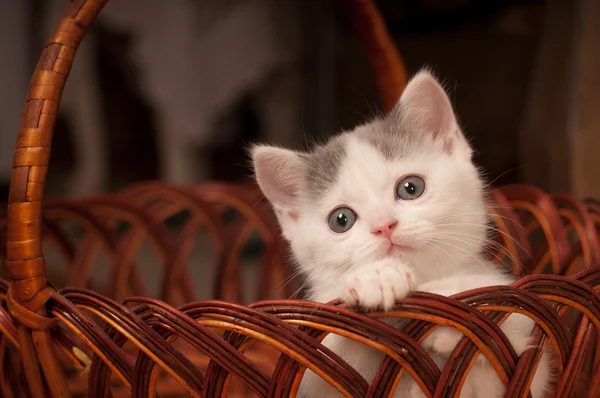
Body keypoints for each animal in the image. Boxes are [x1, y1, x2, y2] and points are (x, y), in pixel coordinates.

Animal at [250, 71, 552, 398]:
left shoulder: (523, 362)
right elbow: (335, 356)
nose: (384, 225)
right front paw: (377, 279)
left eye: (411, 187)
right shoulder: (313, 371)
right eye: (341, 220)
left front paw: (449, 314)